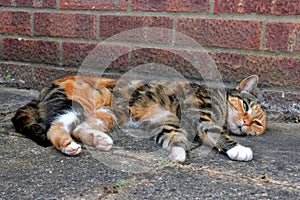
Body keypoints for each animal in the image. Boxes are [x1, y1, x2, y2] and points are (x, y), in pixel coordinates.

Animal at [11, 74, 268, 162]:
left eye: (257, 123)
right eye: (246, 105)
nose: (245, 123)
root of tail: (43, 91)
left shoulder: (165, 119)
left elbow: (173, 135)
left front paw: (177, 152)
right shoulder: (202, 115)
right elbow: (217, 133)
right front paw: (238, 149)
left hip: (106, 114)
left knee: (79, 129)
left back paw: (100, 140)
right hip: (76, 105)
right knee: (55, 128)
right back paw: (68, 146)